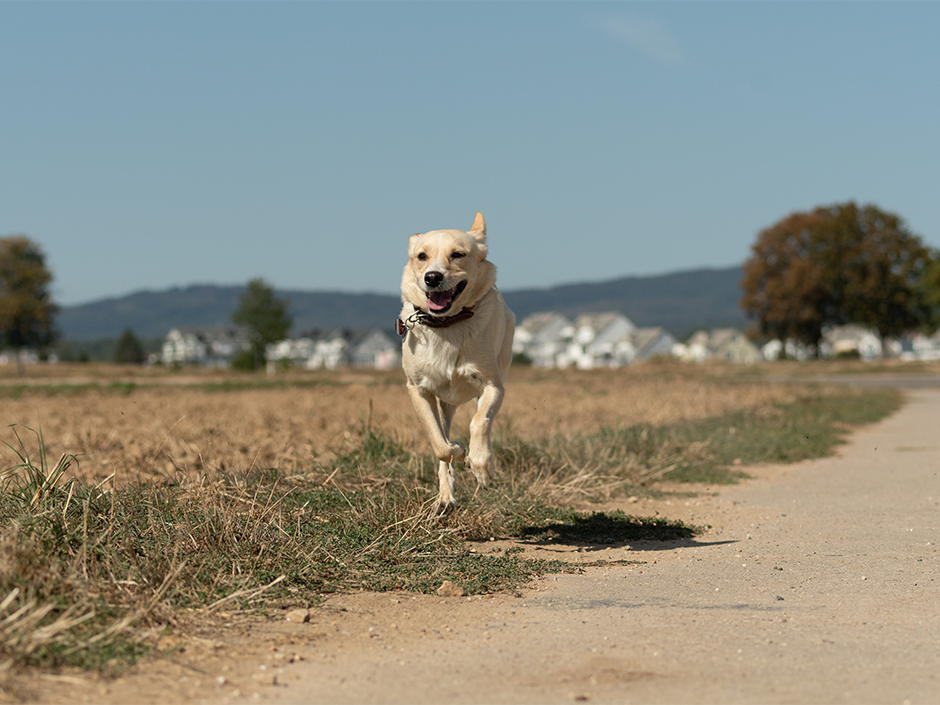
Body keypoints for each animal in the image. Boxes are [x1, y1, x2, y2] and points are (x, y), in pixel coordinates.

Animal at [396, 212, 516, 516]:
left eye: (458, 255)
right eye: (421, 256)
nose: (432, 277)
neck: (447, 324)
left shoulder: (493, 386)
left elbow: (480, 421)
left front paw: (482, 464)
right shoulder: (417, 390)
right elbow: (439, 444)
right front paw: (459, 450)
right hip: (444, 403)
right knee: (443, 438)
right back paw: (445, 497)